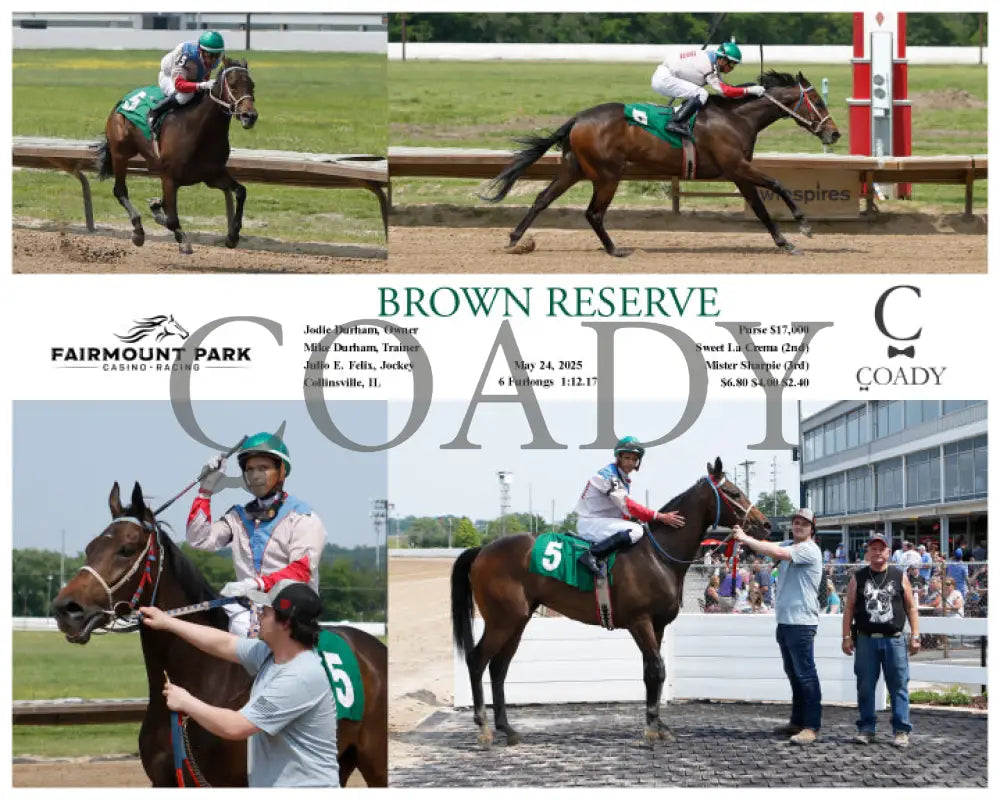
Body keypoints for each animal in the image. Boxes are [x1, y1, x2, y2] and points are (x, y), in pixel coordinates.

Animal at [52, 481, 387, 788]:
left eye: (127, 549)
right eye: (90, 547)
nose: (66, 608)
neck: (206, 680)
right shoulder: (165, 782)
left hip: (375, 763)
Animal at [94, 57, 258, 255]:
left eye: (252, 85)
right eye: (233, 85)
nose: (250, 116)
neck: (200, 132)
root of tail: (122, 101)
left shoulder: (213, 175)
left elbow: (241, 191)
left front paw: (233, 235)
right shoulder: (169, 177)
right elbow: (172, 218)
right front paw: (183, 241)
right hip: (120, 153)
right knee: (119, 190)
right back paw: (138, 231)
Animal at [451, 457, 772, 747]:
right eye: (732, 492)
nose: (765, 524)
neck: (658, 555)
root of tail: (482, 550)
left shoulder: (657, 625)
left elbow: (651, 673)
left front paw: (658, 725)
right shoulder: (640, 622)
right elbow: (657, 669)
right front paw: (651, 730)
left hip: (517, 621)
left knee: (498, 668)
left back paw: (507, 729)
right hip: (502, 620)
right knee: (477, 661)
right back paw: (484, 728)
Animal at [482, 70, 841, 257]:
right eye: (817, 100)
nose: (834, 133)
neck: (736, 118)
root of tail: (578, 118)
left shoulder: (739, 173)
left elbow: (762, 209)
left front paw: (785, 241)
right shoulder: (738, 167)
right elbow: (779, 185)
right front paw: (804, 226)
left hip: (575, 168)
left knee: (542, 199)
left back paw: (515, 238)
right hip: (608, 174)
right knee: (594, 213)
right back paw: (614, 250)